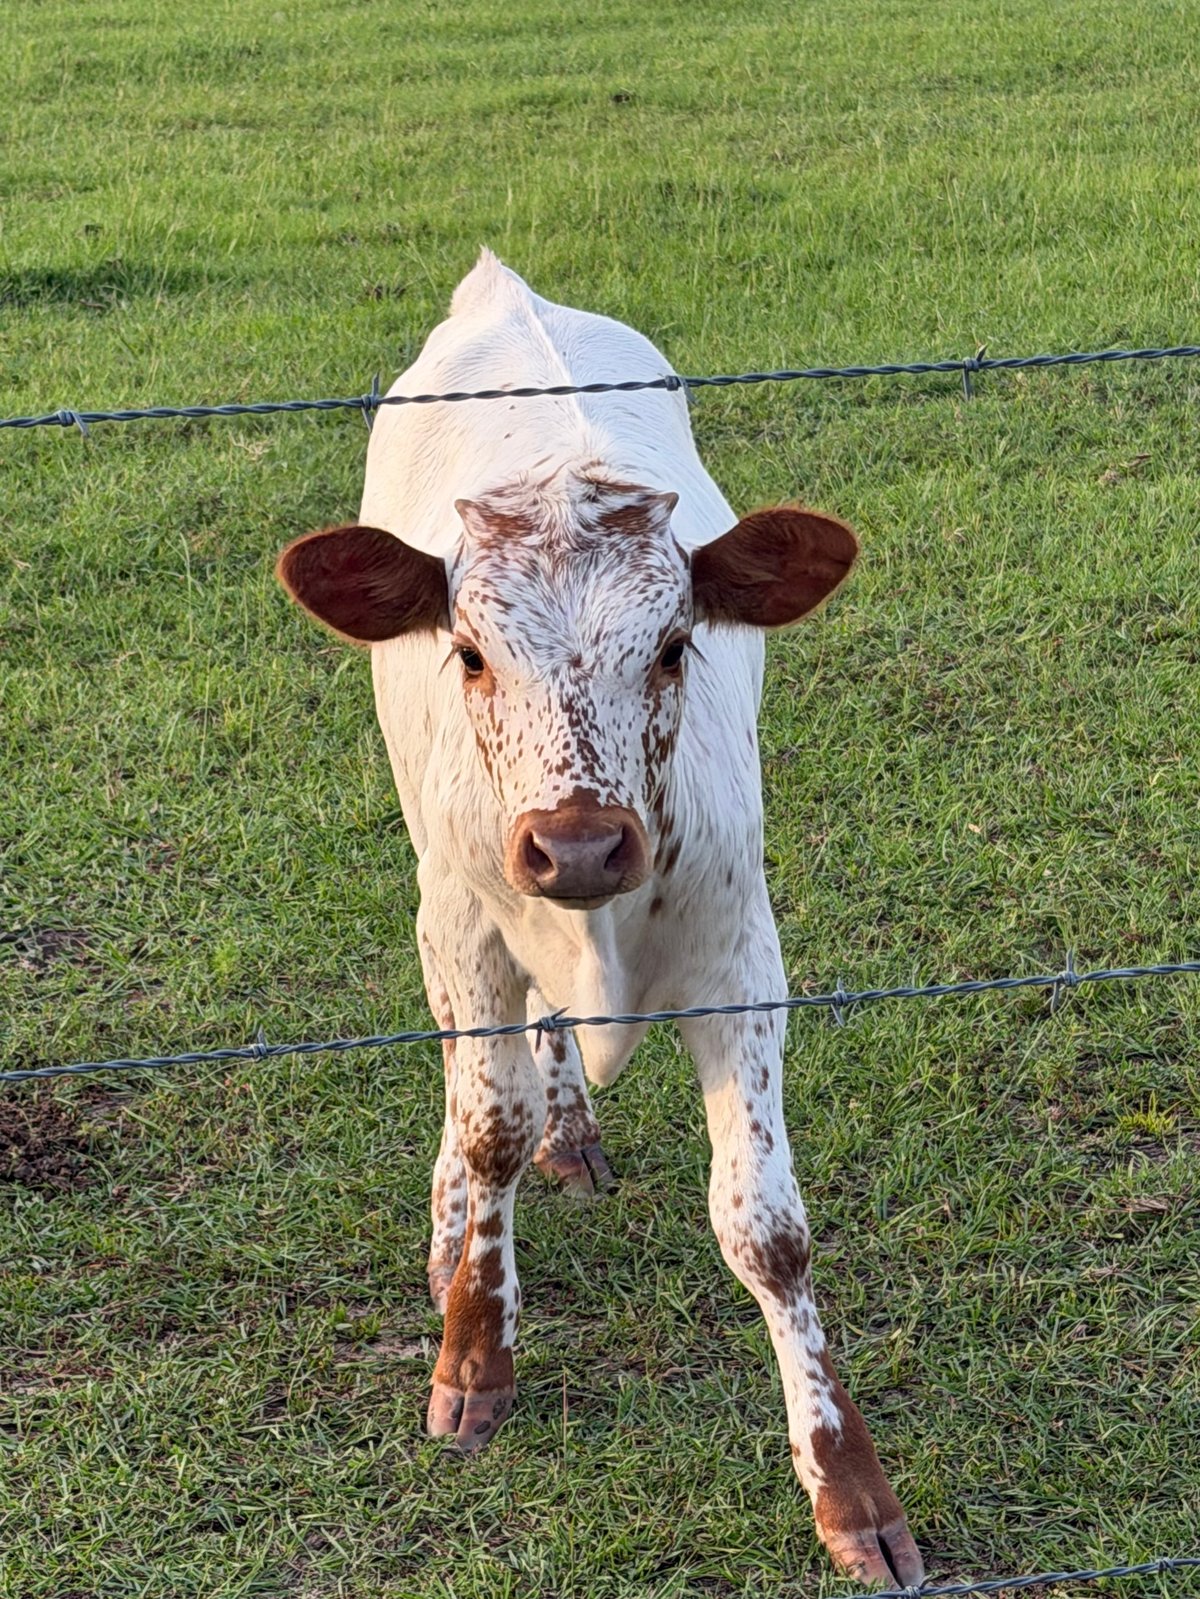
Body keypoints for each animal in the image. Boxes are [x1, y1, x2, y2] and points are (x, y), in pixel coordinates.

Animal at [276, 251, 922, 1586]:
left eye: (674, 646)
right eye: (470, 652)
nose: (577, 844)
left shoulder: (742, 957)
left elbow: (767, 1228)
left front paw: (853, 1492)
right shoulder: (465, 924)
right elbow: (488, 1127)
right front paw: (474, 1353)